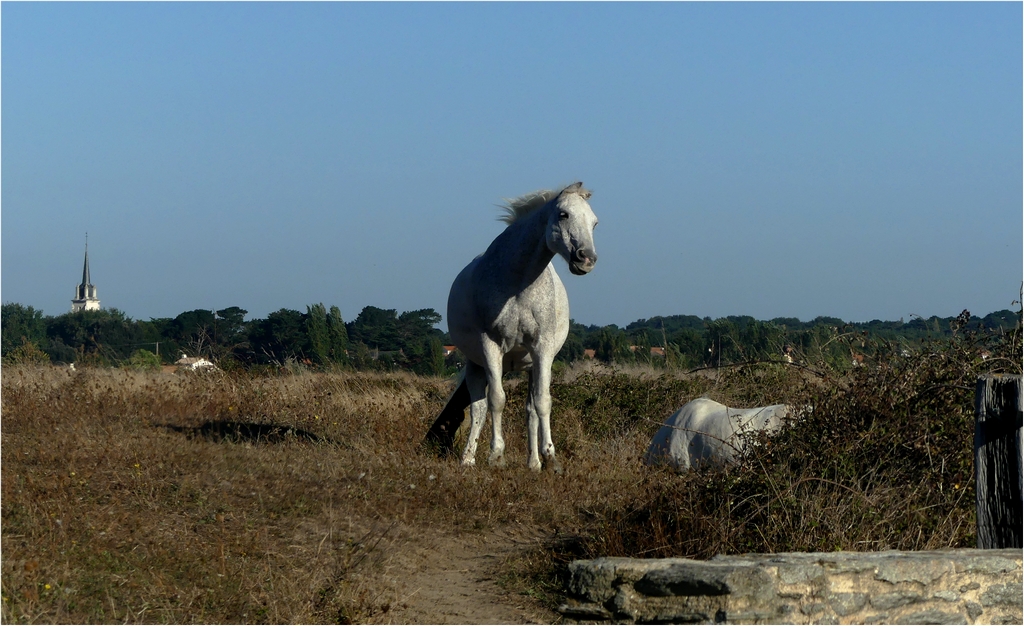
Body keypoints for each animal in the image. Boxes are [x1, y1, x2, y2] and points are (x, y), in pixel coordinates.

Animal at [425, 183, 598, 473]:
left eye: (594, 222)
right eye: (563, 214)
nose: (586, 259)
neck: (519, 282)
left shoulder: (542, 350)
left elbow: (542, 403)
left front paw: (550, 459)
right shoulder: (491, 346)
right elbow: (496, 400)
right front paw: (496, 456)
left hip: (529, 367)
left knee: (530, 410)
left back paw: (533, 463)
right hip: (477, 366)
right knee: (479, 408)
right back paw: (468, 458)